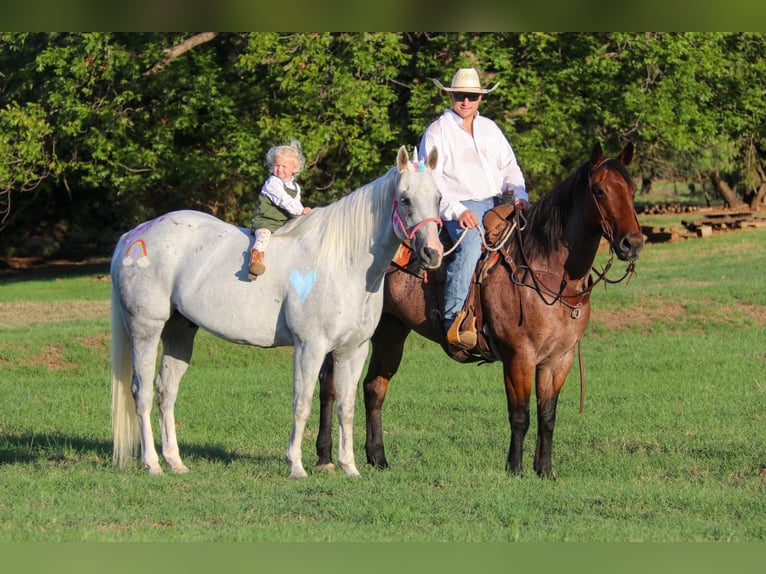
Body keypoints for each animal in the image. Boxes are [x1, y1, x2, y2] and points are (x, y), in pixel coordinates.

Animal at [109, 146, 444, 480]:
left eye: (438, 198)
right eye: (405, 199)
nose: (433, 253)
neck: (343, 262)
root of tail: (133, 236)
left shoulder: (353, 350)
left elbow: (346, 407)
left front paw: (349, 467)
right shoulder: (310, 347)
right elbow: (302, 403)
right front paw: (296, 465)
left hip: (179, 333)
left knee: (166, 392)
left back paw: (175, 462)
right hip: (145, 330)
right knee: (142, 393)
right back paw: (152, 463)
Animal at [318, 142, 648, 480]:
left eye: (632, 189)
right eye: (599, 190)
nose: (632, 243)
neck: (543, 267)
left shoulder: (559, 359)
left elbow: (547, 415)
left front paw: (545, 470)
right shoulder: (519, 356)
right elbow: (520, 414)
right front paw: (515, 468)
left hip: (391, 330)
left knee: (374, 387)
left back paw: (378, 458)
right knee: (330, 387)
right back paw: (325, 457)